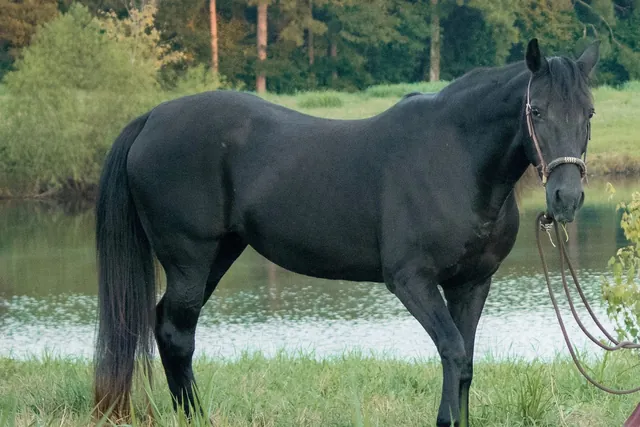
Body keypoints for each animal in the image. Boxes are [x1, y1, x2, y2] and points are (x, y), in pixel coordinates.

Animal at [94, 38, 599, 426]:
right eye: (536, 110)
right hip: (189, 259)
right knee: (177, 333)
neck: (454, 156)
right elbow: (452, 352)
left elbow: (467, 362)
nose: (565, 197)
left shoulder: (472, 283)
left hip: (219, 254)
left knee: (169, 327)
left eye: (589, 113)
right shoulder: (412, 282)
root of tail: (151, 119)